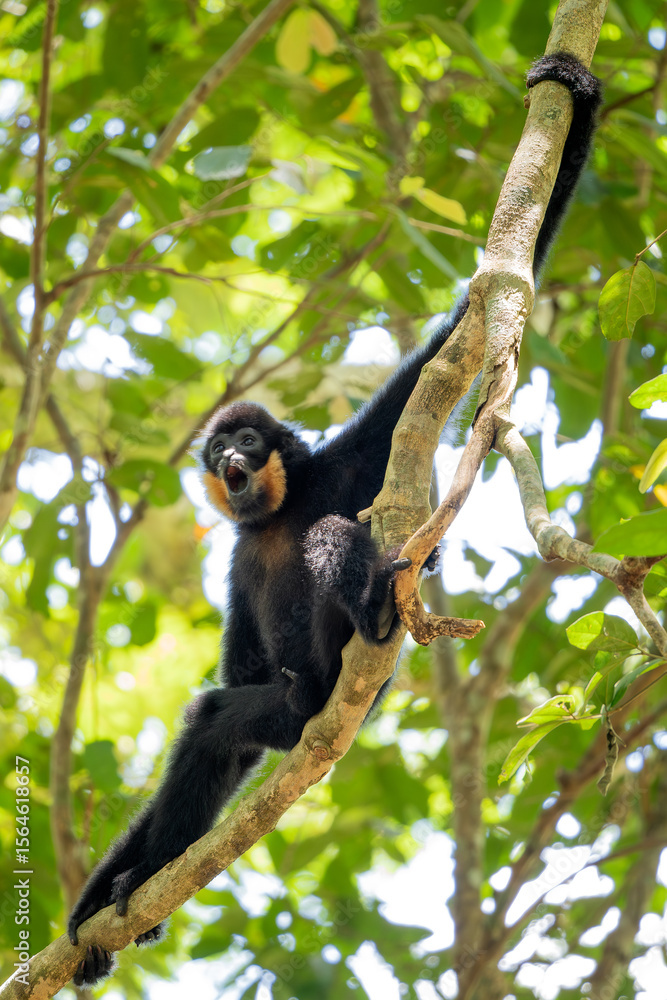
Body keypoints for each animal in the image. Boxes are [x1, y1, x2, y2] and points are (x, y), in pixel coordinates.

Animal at [67, 53, 602, 986]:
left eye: (246, 440)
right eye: (218, 452)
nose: (230, 457)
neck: (279, 508)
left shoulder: (358, 453)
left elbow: (458, 339)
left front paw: (573, 92)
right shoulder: (236, 557)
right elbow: (229, 685)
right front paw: (99, 904)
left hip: (324, 672)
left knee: (328, 555)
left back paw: (375, 609)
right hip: (283, 715)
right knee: (220, 725)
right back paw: (135, 888)